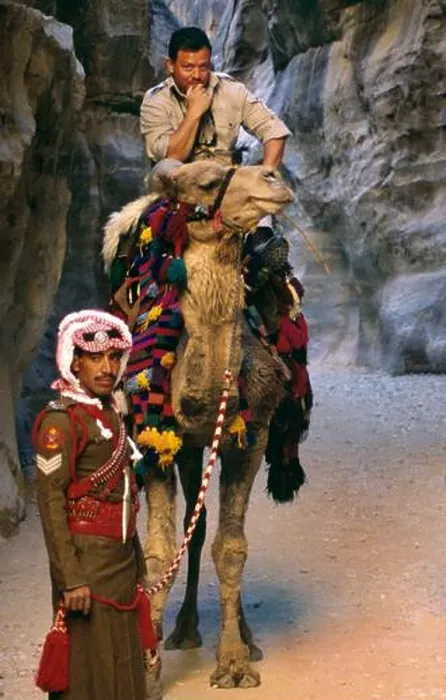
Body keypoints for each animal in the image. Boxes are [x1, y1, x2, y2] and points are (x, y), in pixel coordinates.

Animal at [103, 159, 297, 692]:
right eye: (209, 181)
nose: (274, 178)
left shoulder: (251, 435)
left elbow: (231, 547)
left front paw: (233, 662)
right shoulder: (154, 441)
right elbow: (158, 549)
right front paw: (148, 669)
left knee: (213, 526)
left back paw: (243, 637)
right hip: (186, 447)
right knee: (197, 519)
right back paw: (185, 629)